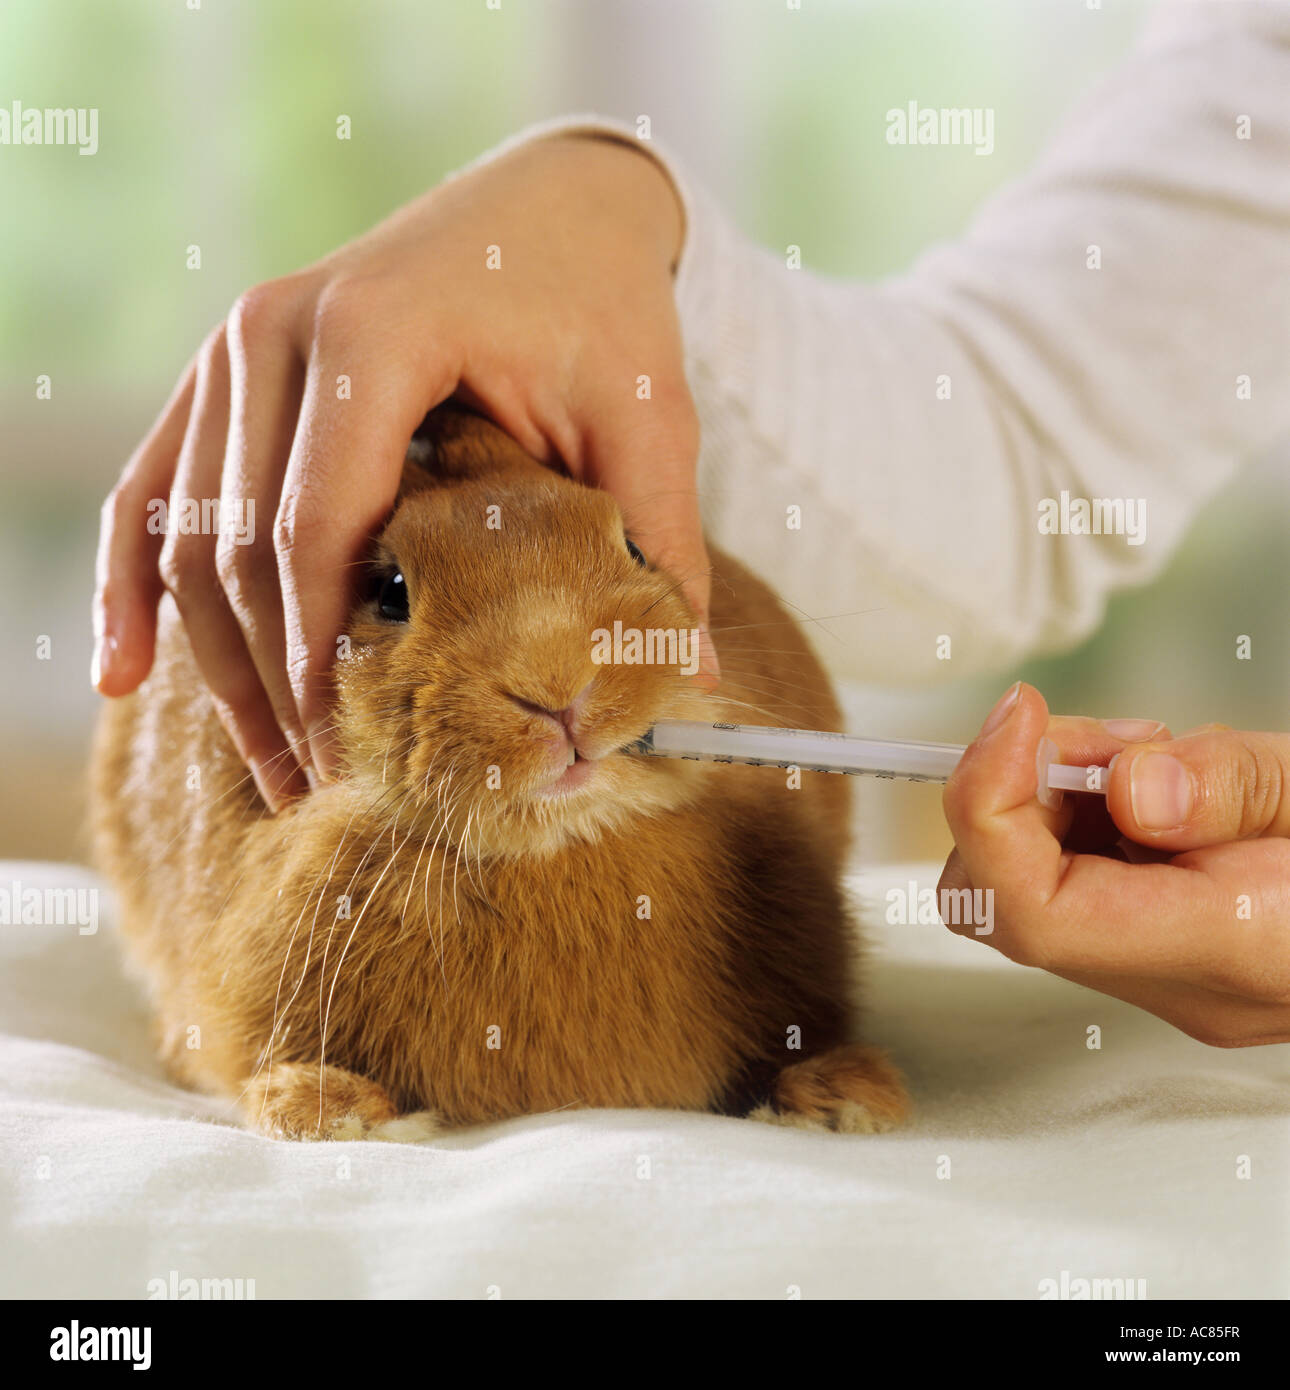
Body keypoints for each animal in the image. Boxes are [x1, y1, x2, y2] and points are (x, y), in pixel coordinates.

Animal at [91, 406, 909, 1141]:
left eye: (635, 546)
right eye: (390, 591)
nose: (556, 683)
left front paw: (844, 1094)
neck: (561, 841)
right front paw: (328, 1108)